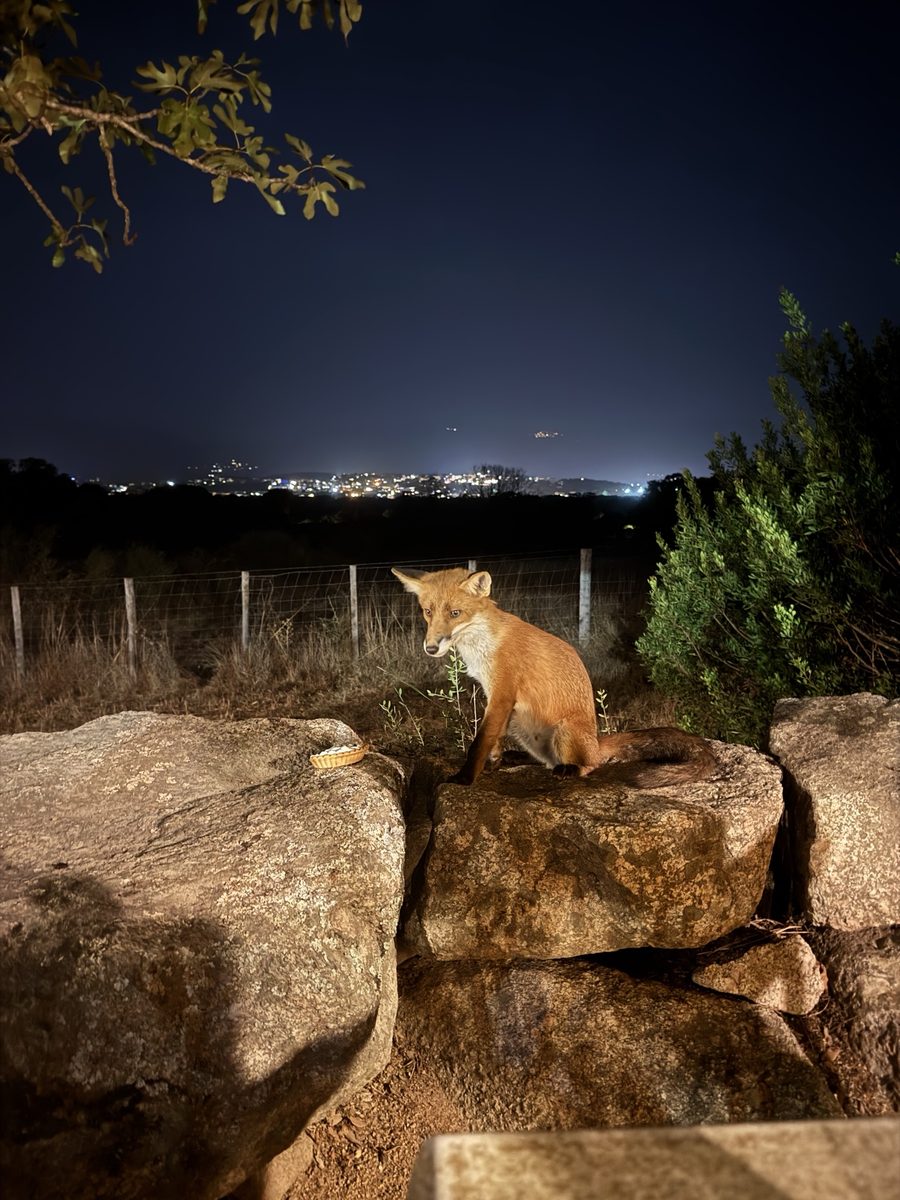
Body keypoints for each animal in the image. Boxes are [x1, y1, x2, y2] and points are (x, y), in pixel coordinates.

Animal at [392, 565, 717, 787]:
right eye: (427, 612)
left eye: (456, 613)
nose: (431, 648)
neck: (481, 645)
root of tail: (596, 741)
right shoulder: (494, 696)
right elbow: (492, 738)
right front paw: (494, 761)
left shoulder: (503, 692)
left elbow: (479, 742)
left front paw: (465, 778)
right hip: (522, 723)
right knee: (545, 762)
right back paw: (518, 758)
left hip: (564, 732)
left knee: (588, 765)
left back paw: (570, 769)